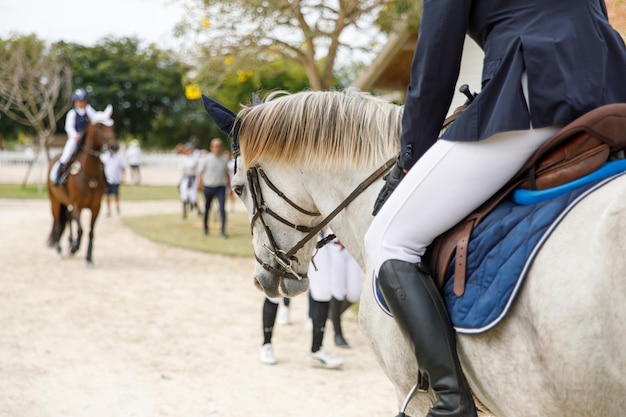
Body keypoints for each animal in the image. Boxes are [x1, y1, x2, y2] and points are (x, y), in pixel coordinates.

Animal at [46, 105, 117, 264]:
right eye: (99, 126)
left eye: (112, 125)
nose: (114, 146)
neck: (89, 174)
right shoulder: (77, 205)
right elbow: (81, 229)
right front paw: (74, 248)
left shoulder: (96, 207)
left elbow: (90, 231)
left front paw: (88, 257)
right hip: (55, 202)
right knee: (58, 222)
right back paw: (60, 248)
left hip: (66, 203)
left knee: (67, 220)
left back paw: (69, 243)